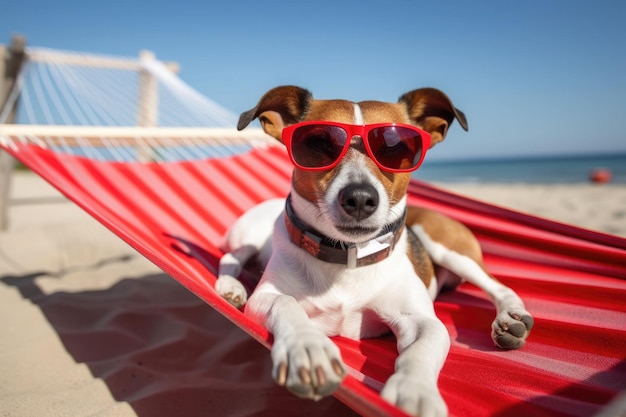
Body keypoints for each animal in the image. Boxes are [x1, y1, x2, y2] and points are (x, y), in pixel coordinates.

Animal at [216, 85, 532, 416]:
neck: (347, 257)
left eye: (396, 146)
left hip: (447, 246)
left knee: (498, 285)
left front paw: (414, 391)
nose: (359, 198)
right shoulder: (266, 297)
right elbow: (286, 304)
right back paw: (231, 287)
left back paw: (511, 318)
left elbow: (421, 349)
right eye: (319, 142)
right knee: (231, 256)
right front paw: (308, 348)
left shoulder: (422, 320)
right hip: (252, 234)